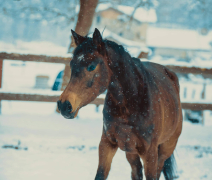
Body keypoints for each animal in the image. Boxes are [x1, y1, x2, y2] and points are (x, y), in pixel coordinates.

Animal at [57, 28, 182, 180]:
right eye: (72, 65)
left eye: (91, 66)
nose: (64, 105)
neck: (131, 104)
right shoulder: (107, 144)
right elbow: (100, 174)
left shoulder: (150, 153)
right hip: (131, 152)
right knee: (136, 171)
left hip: (166, 148)